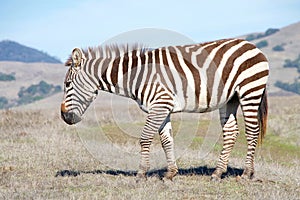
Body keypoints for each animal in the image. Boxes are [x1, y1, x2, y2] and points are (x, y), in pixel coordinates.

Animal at [61, 38, 270, 181]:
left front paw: (141, 173)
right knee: (231, 132)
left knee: (252, 131)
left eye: (68, 84)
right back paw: (218, 173)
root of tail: (251, 45)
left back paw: (247, 173)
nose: (64, 117)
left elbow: (145, 138)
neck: (137, 76)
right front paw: (170, 173)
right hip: (230, 99)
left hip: (250, 91)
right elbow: (166, 140)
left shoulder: (160, 104)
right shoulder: (162, 108)